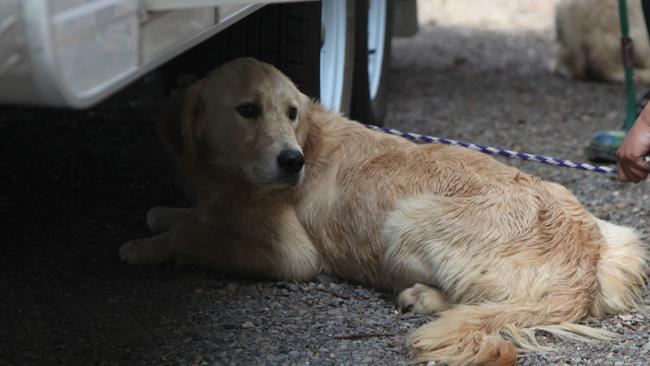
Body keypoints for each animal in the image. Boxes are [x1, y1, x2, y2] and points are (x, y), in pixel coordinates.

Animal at [119, 58, 644, 364]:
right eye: (248, 109)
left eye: (291, 112)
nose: (292, 162)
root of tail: (582, 265)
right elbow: (195, 217)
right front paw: (164, 215)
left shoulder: (293, 257)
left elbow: (196, 236)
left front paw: (146, 246)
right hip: (622, 237)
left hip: (405, 220)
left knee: (481, 303)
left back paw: (422, 297)